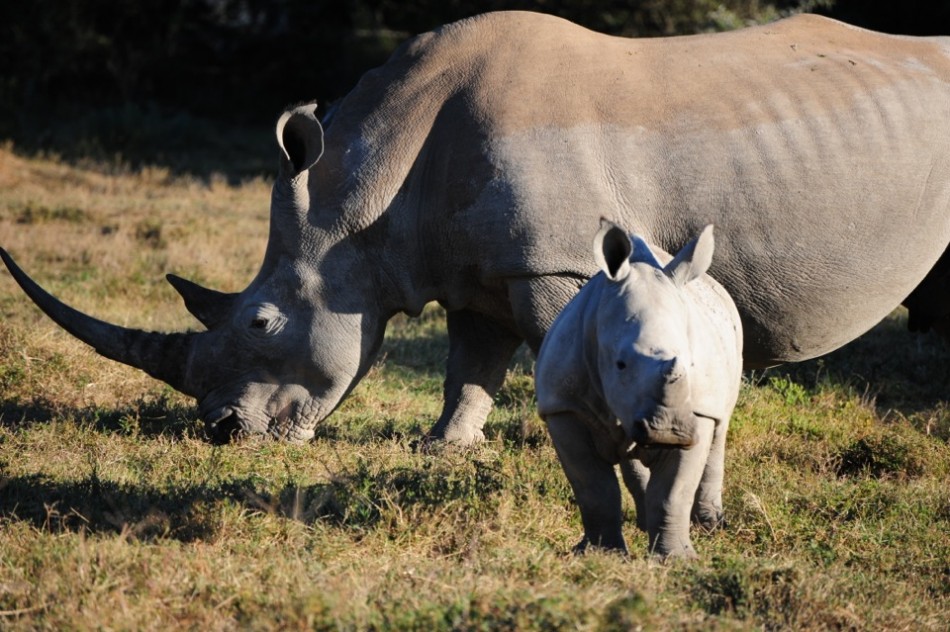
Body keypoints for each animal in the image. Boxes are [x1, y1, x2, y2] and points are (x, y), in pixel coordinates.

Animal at [3, 12, 950, 444]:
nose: (223, 432)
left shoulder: (552, 262)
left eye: (263, 322)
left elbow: (563, 348)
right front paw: (443, 450)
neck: (364, 197)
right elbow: (470, 365)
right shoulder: (472, 268)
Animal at [535, 222, 742, 558]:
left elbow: (673, 492)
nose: (669, 431)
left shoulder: (697, 412)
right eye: (620, 364)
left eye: (692, 364)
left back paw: (710, 525)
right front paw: (600, 554)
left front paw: (676, 559)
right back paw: (645, 523)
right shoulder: (563, 406)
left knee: (720, 430)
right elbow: (593, 488)